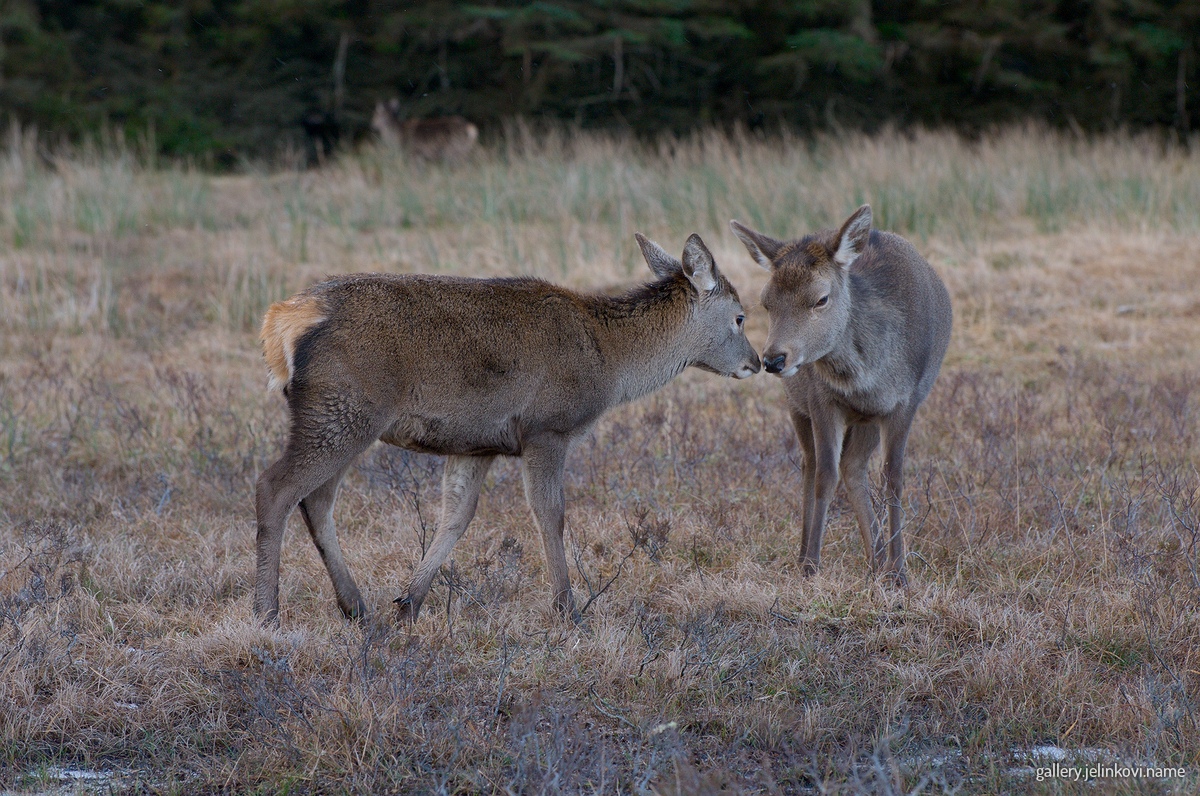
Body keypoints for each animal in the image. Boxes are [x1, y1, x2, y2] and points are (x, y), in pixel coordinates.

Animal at [254, 234, 760, 625]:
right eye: (740, 316)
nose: (758, 363)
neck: (611, 362)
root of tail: (280, 320)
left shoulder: (476, 445)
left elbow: (456, 516)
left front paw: (409, 603)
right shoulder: (546, 428)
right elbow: (550, 514)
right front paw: (568, 610)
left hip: (344, 417)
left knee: (316, 500)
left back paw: (356, 606)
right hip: (343, 408)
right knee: (275, 488)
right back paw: (267, 613)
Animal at [729, 206, 951, 585]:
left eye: (821, 299)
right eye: (766, 302)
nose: (773, 360)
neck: (867, 376)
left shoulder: (906, 402)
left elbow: (893, 479)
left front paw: (900, 572)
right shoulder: (822, 401)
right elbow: (825, 476)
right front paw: (810, 566)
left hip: (867, 418)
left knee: (853, 465)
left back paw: (878, 559)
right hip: (798, 405)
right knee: (813, 464)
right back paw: (824, 554)